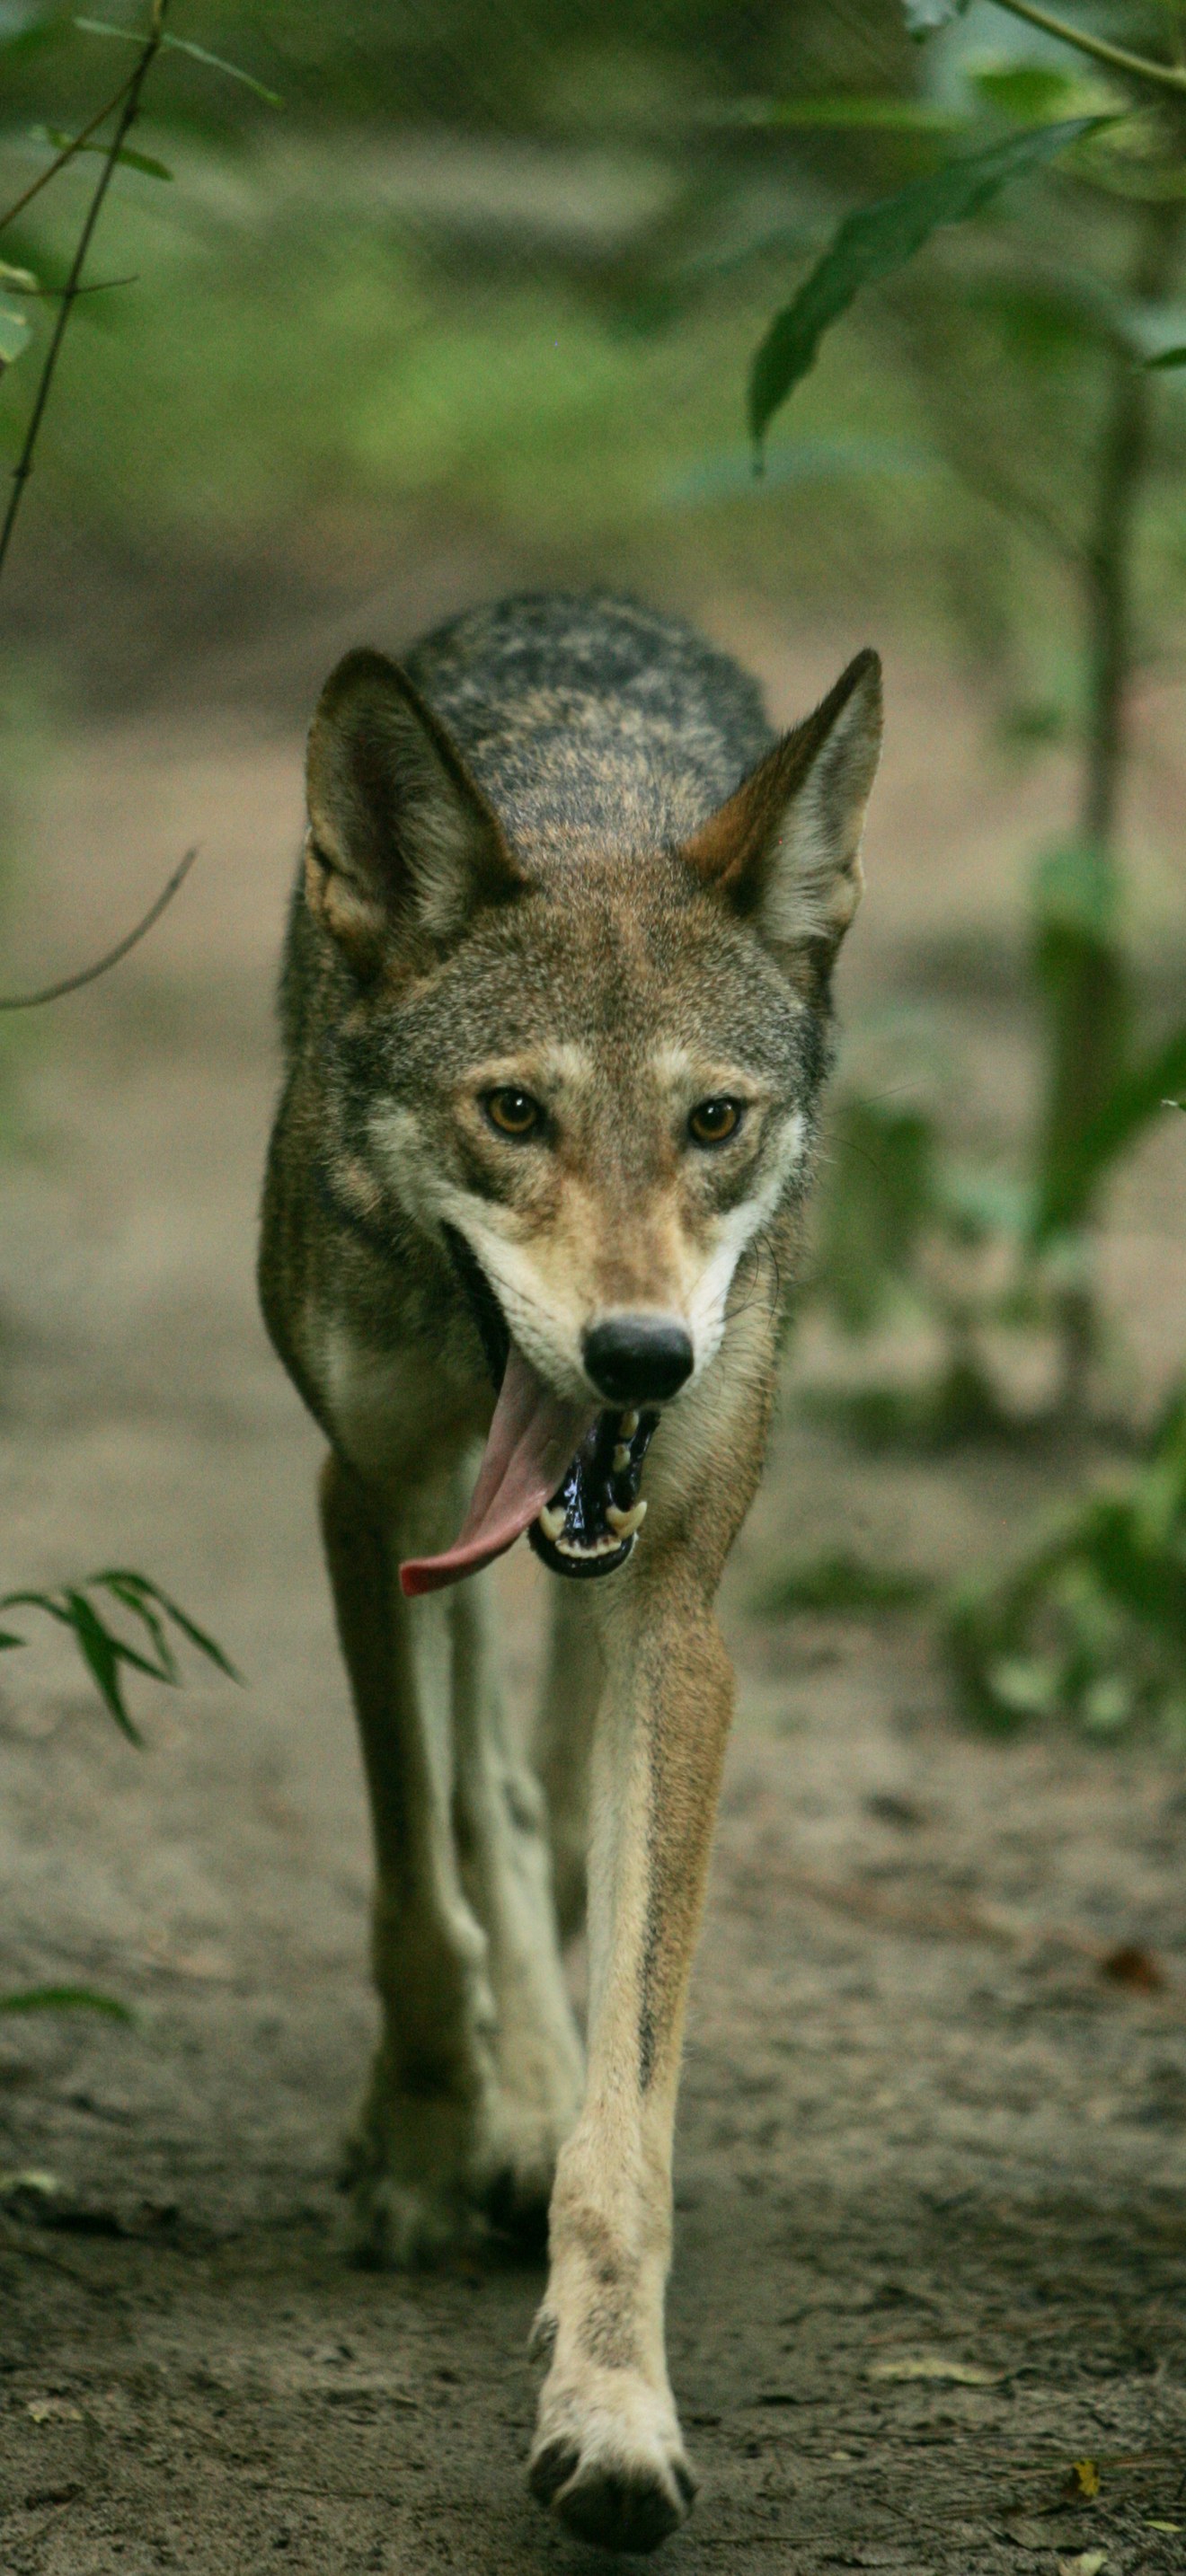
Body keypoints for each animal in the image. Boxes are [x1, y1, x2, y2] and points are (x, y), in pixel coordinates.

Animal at [258, 592, 881, 2554]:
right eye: (515, 1112)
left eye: (715, 1122)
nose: (639, 1358)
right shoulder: (365, 1495)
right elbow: (413, 1884)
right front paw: (431, 2138)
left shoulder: (675, 1613)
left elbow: (634, 2107)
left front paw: (610, 2405)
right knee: (480, 1802)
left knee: (527, 1796)